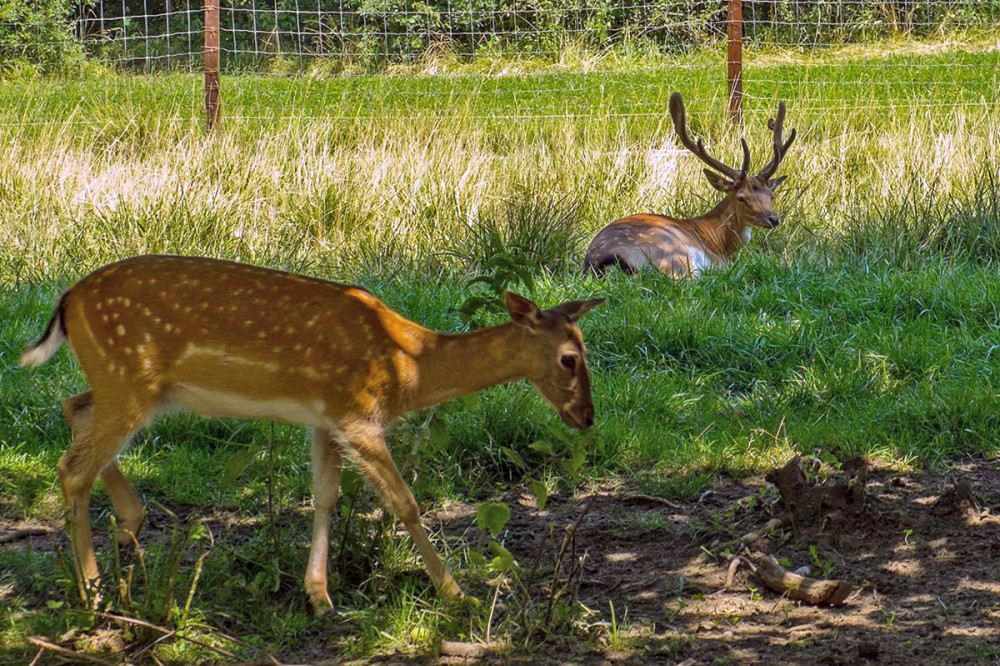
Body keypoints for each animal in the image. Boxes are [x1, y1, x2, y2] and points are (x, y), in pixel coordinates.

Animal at [21, 254, 600, 612]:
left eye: (587, 350)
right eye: (569, 359)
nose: (587, 417)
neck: (408, 367)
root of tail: (66, 301)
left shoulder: (327, 420)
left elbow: (325, 498)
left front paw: (318, 596)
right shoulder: (358, 415)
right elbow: (405, 503)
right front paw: (458, 595)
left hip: (126, 386)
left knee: (73, 407)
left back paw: (130, 523)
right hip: (127, 379)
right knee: (72, 467)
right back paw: (93, 590)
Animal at [584, 92, 792, 276]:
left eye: (771, 195)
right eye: (741, 198)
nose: (773, 219)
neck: (718, 241)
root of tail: (602, 261)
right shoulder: (716, 261)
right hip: (673, 254)